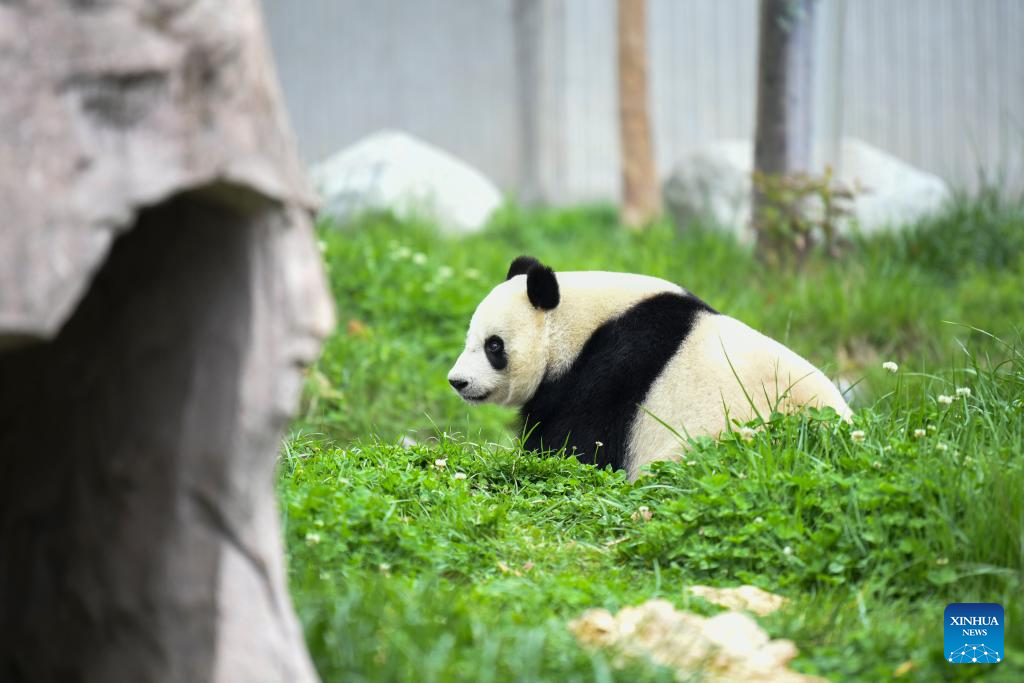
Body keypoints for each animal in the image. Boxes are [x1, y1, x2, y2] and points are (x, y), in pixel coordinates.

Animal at [448, 255, 847, 481]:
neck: (581, 323)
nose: (458, 382)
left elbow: (579, 444)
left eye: (493, 346)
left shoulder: (615, 366)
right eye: (469, 339)